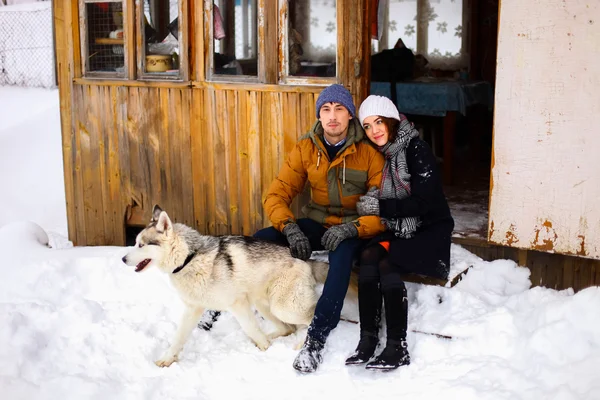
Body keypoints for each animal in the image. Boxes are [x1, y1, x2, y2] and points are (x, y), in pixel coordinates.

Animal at [120, 206, 346, 366]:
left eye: (141, 245)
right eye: (135, 242)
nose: (122, 258)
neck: (189, 258)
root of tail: (306, 260)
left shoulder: (237, 304)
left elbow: (251, 328)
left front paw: (265, 350)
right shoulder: (193, 309)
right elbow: (178, 338)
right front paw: (167, 359)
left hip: (284, 307)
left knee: (315, 320)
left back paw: (299, 344)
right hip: (266, 305)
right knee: (287, 327)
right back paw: (272, 338)